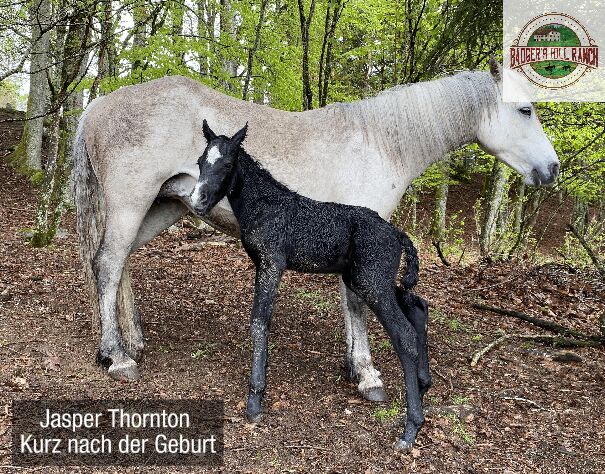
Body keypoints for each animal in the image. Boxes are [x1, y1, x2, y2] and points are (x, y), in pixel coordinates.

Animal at [74, 60, 556, 400]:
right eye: (525, 109)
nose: (551, 168)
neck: (380, 143)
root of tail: (97, 106)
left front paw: (355, 366)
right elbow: (357, 304)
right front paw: (368, 375)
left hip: (161, 207)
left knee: (120, 263)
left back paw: (131, 341)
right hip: (131, 204)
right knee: (108, 263)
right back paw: (117, 357)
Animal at [190, 120, 430, 450]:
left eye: (227, 164)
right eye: (200, 162)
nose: (196, 201)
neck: (265, 204)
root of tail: (397, 233)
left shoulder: (272, 263)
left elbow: (259, 323)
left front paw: (255, 401)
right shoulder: (262, 266)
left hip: (371, 280)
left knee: (404, 333)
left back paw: (410, 429)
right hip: (369, 278)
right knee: (417, 307)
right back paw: (424, 384)